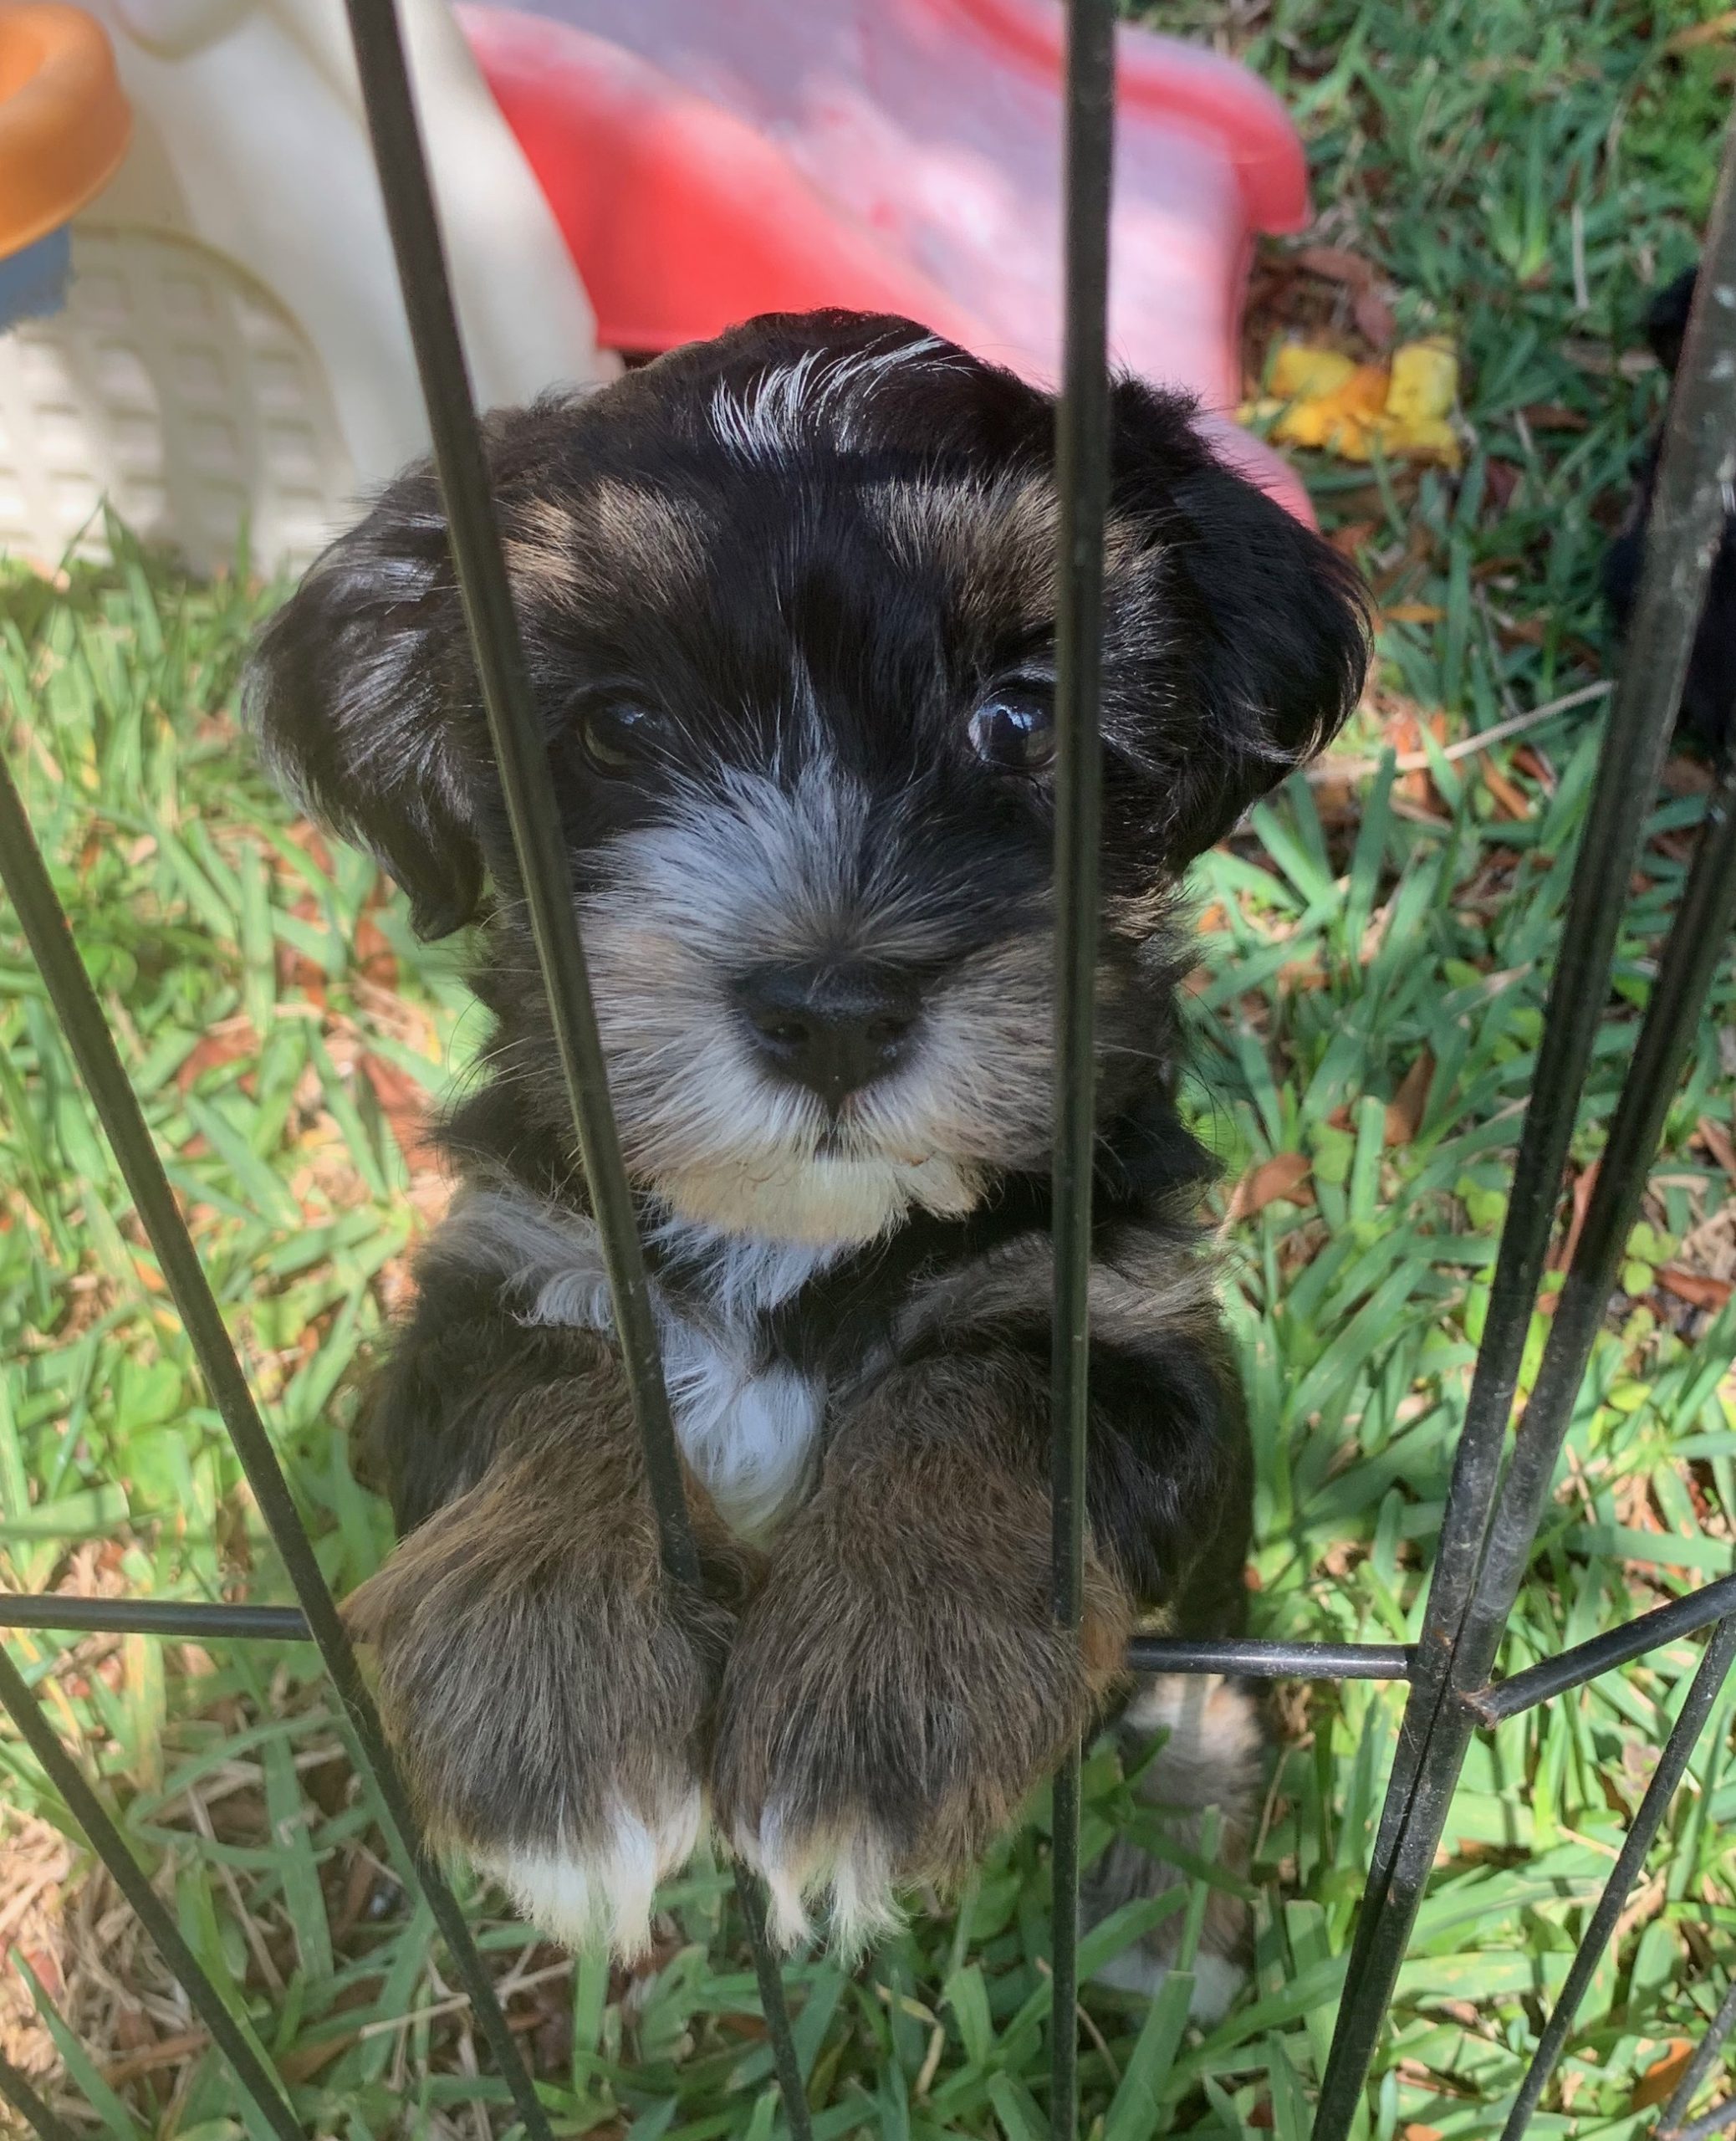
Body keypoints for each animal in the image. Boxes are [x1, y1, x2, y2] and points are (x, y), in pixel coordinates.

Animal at [246, 309, 1366, 2011]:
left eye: (1020, 720)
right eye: (615, 727)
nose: (832, 1011)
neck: (803, 1234)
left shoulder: (1143, 1330)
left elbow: (990, 1394)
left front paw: (886, 1703)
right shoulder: (492, 1274)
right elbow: (553, 1379)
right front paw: (550, 1698)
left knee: (1203, 1703)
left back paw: (1161, 1907)